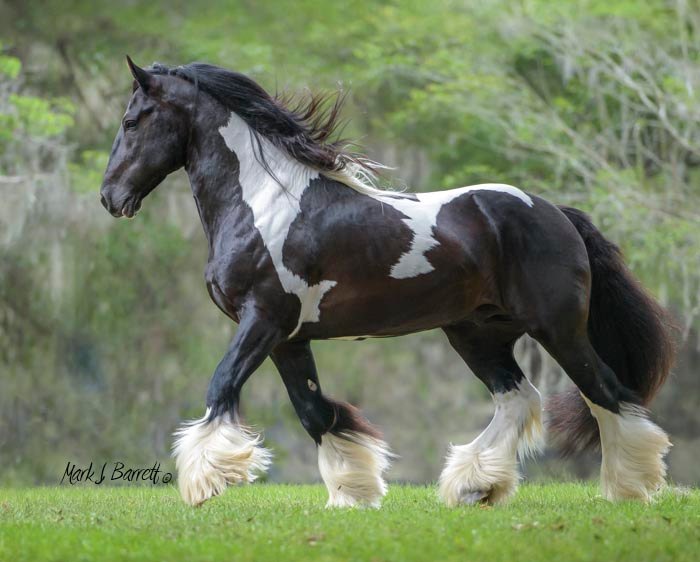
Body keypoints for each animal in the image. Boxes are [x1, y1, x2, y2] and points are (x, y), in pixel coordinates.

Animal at [98, 57, 672, 508]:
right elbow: (315, 413)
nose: (110, 197)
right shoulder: (288, 339)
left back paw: (632, 487)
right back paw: (475, 486)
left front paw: (204, 482)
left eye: (131, 120)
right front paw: (354, 493)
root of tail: (556, 213)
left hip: (557, 328)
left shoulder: (262, 320)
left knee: (605, 391)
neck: (265, 203)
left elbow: (222, 385)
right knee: (518, 399)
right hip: (477, 333)